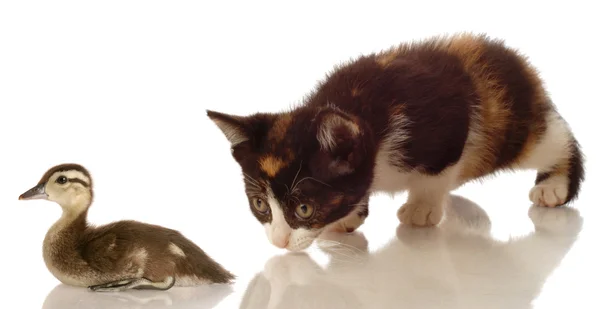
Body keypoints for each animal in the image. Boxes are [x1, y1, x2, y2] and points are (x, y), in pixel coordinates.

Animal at [207, 33, 584, 250]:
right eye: (260, 205)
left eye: (304, 209)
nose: (280, 242)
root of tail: (521, 64)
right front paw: (349, 216)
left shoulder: (447, 126)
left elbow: (436, 172)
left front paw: (421, 207)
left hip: (510, 130)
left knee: (553, 139)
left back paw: (554, 184)